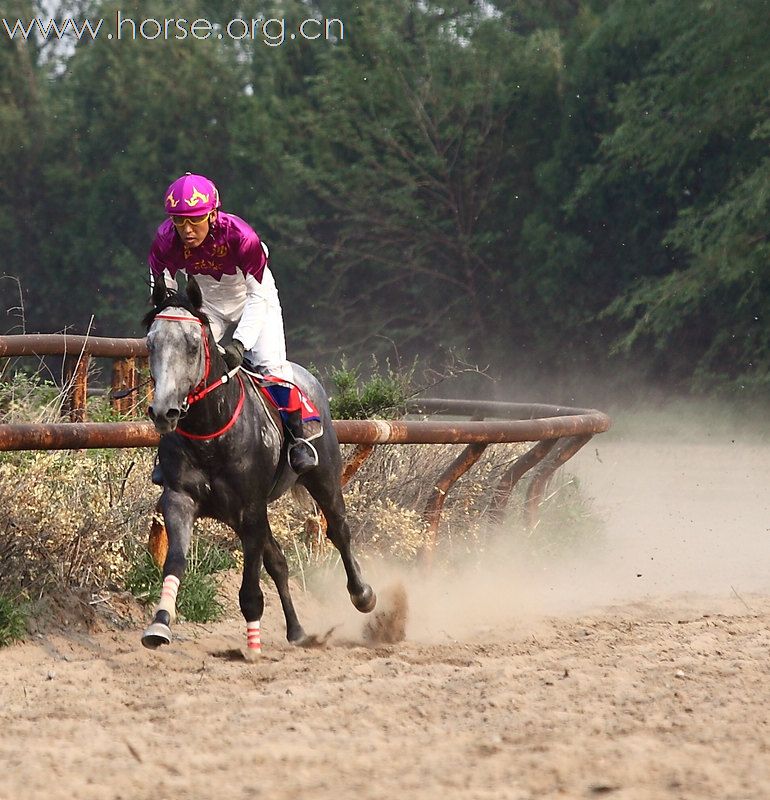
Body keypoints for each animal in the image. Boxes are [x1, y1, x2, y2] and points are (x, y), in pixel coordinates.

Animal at [141, 276, 376, 656]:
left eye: (192, 346)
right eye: (151, 344)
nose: (164, 411)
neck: (211, 434)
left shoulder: (250, 507)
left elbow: (251, 581)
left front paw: (252, 643)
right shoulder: (179, 498)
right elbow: (175, 560)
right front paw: (159, 624)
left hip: (324, 476)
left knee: (339, 530)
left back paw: (363, 595)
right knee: (278, 561)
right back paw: (296, 630)